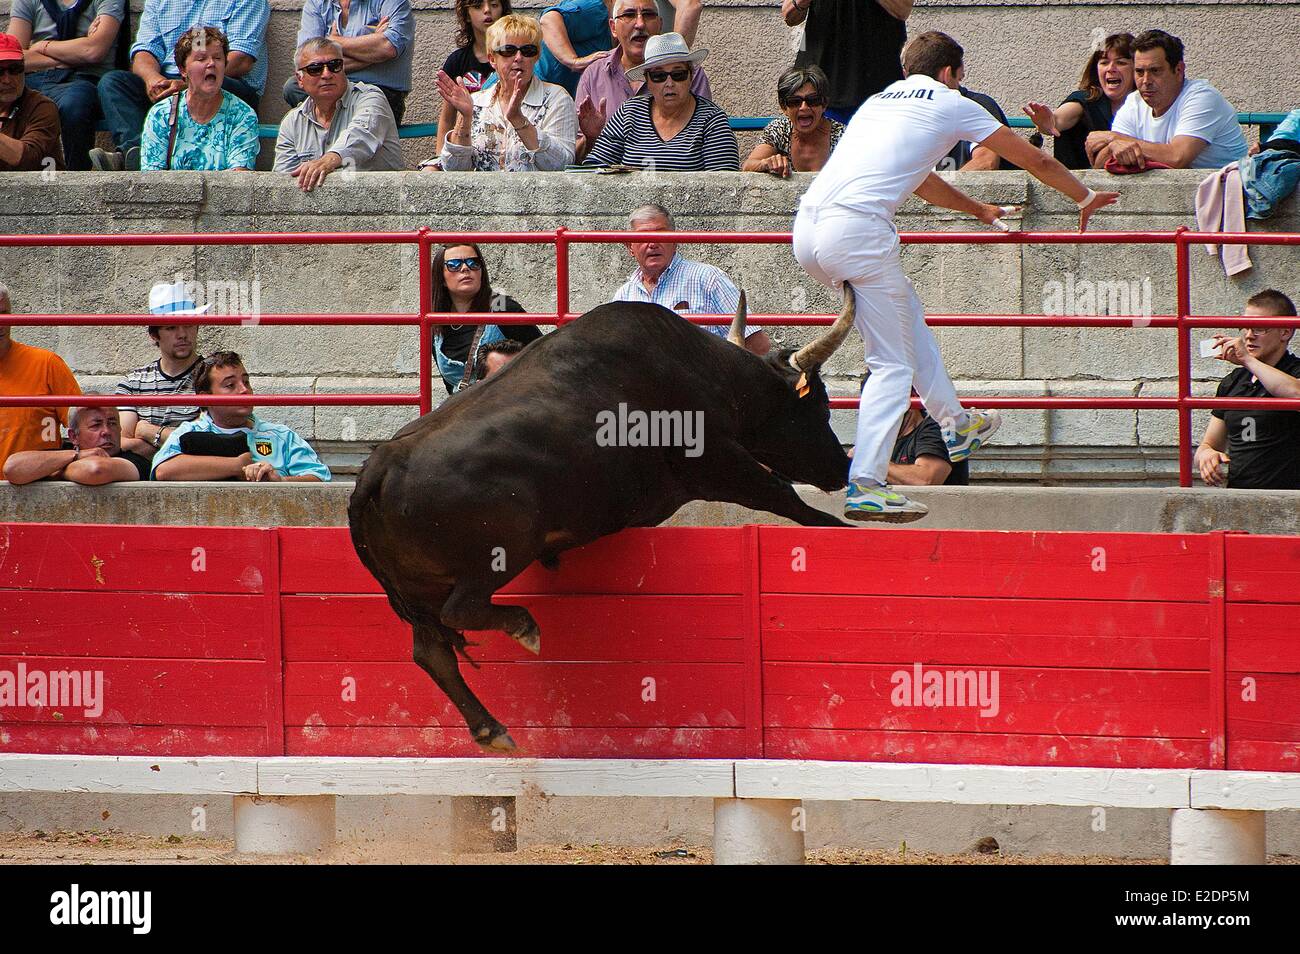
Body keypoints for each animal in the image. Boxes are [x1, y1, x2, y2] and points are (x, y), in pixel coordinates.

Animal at [351, 287, 857, 748]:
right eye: (819, 404)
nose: (842, 466)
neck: (708, 371)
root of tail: (383, 462)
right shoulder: (719, 463)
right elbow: (788, 499)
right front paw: (845, 529)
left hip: (420, 590)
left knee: (431, 650)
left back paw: (491, 729)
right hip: (500, 554)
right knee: (461, 610)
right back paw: (523, 628)